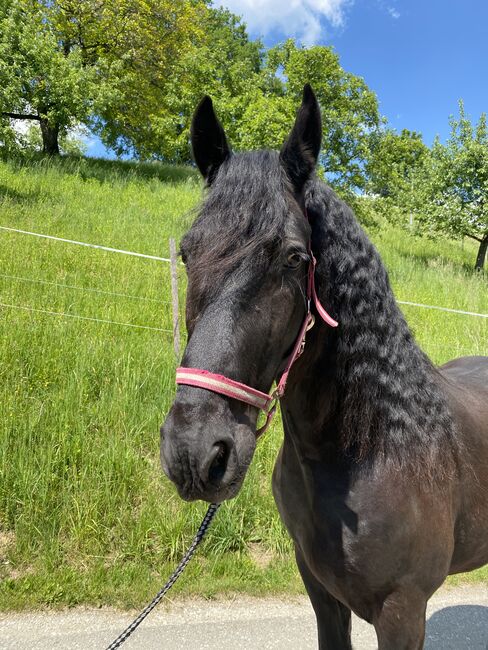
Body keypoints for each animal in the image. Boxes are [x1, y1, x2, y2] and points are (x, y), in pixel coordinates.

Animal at [161, 87, 488, 648]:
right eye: (186, 252)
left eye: (294, 257)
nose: (195, 453)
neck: (370, 449)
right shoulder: (319, 589)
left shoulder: (404, 613)